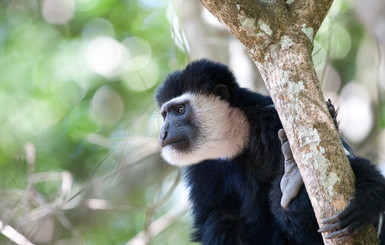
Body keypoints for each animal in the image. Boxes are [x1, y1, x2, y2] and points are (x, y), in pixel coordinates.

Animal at [154, 59, 384, 245]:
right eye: (164, 115)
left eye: (180, 110)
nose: (163, 133)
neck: (239, 139)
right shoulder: (202, 168)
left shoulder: (274, 121)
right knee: (220, 218)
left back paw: (292, 180)